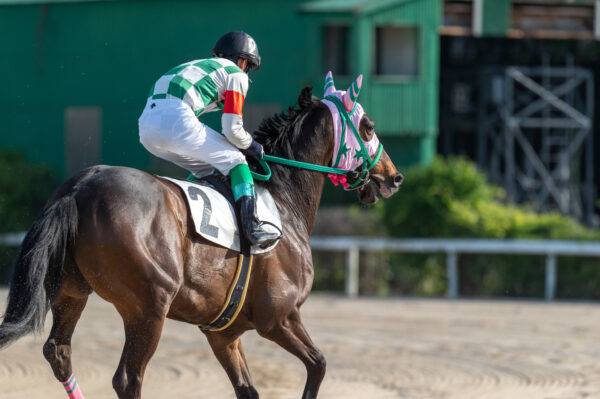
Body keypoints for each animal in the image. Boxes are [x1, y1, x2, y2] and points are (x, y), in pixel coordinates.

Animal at [1, 75, 404, 399]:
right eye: (368, 126)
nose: (394, 177)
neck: (282, 197)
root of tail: (81, 186)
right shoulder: (280, 318)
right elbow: (318, 365)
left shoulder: (224, 334)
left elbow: (249, 389)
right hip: (149, 307)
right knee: (128, 379)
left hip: (71, 290)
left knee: (59, 353)